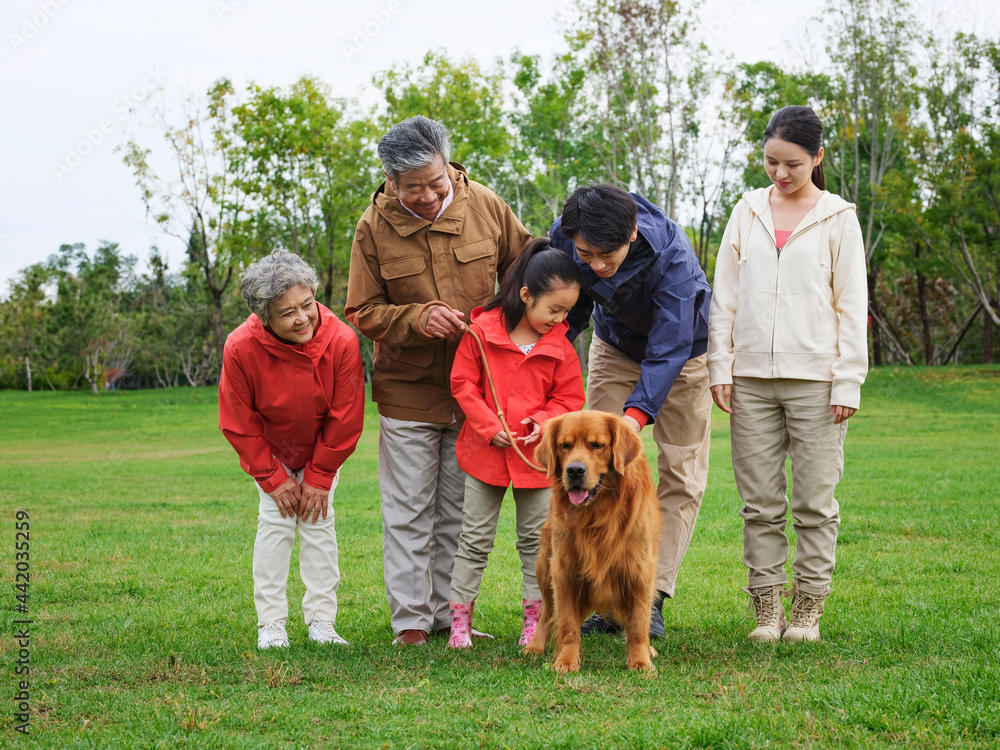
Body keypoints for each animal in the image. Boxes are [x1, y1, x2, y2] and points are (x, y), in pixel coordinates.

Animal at [524, 412, 664, 676]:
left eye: (597, 445)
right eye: (564, 445)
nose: (574, 471)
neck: (598, 516)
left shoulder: (639, 570)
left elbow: (638, 624)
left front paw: (640, 661)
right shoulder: (564, 571)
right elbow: (568, 625)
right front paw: (565, 660)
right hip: (544, 568)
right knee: (547, 613)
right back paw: (534, 647)